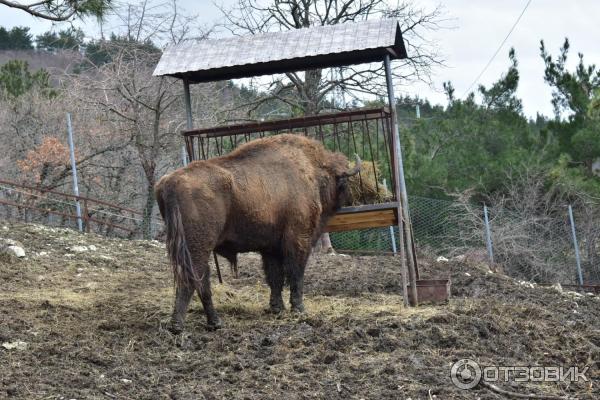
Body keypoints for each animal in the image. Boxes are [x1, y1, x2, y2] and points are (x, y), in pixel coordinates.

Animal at [156, 134, 360, 332]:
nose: (351, 197)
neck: (313, 171)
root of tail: (170, 182)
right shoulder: (299, 239)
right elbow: (295, 273)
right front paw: (299, 309)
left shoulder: (271, 248)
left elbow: (275, 277)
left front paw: (277, 308)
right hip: (197, 247)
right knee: (192, 279)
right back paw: (181, 325)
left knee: (200, 280)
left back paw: (212, 322)